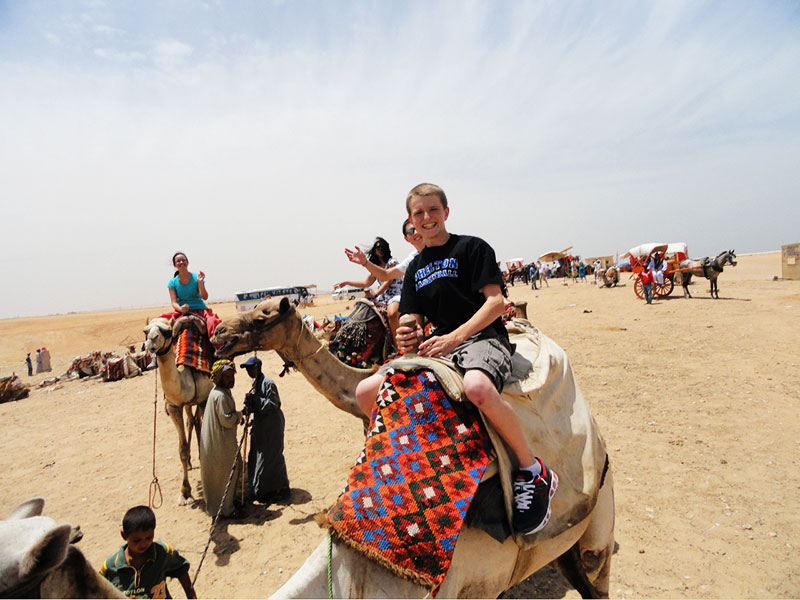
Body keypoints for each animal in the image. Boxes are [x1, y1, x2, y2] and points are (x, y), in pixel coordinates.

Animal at [144, 318, 212, 502]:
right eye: (145, 331)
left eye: (167, 331)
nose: (151, 342)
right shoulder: (174, 406)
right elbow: (181, 448)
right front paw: (185, 491)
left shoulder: (204, 399)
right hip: (188, 405)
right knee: (192, 421)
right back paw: (188, 462)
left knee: (197, 421)